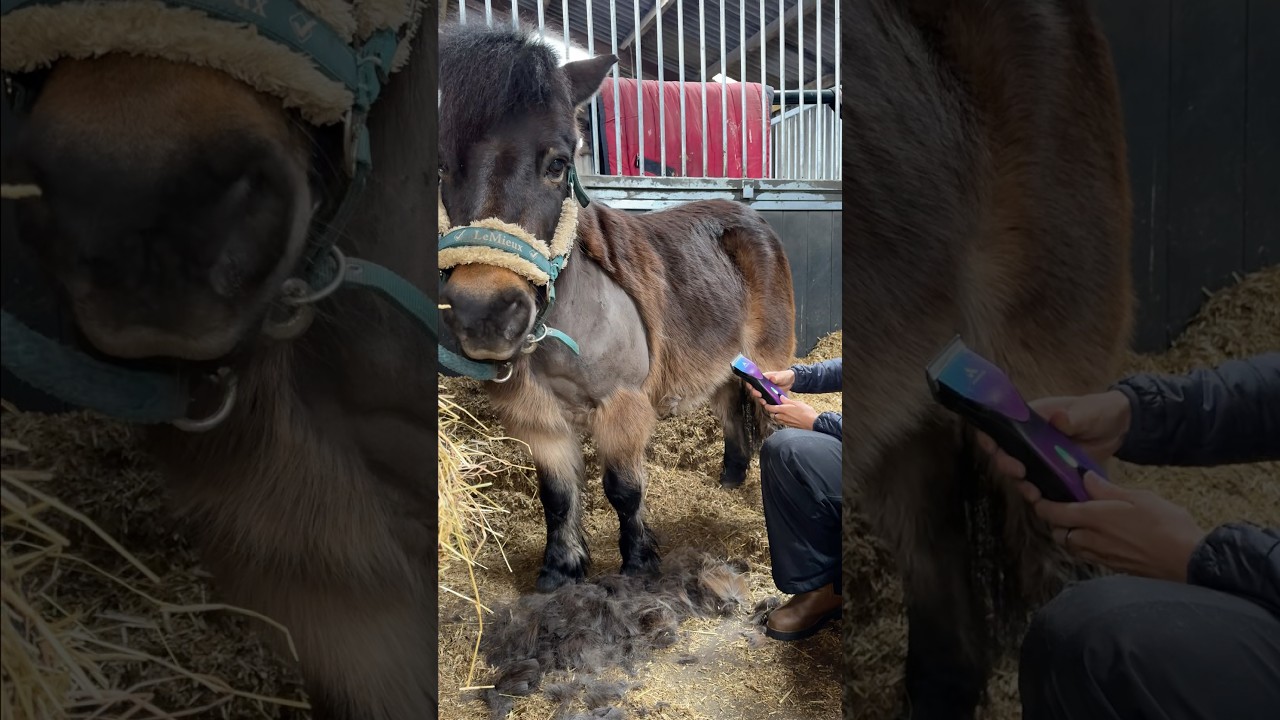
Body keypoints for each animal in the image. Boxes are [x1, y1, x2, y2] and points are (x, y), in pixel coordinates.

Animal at [436, 23, 797, 593]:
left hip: (769, 366)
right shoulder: (542, 421)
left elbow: (624, 490)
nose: (484, 314)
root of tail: (750, 218)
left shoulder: (620, 407)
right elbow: (558, 496)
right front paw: (560, 570)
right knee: (731, 418)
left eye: (558, 164)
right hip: (723, 367)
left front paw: (638, 564)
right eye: (443, 167)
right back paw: (728, 481)